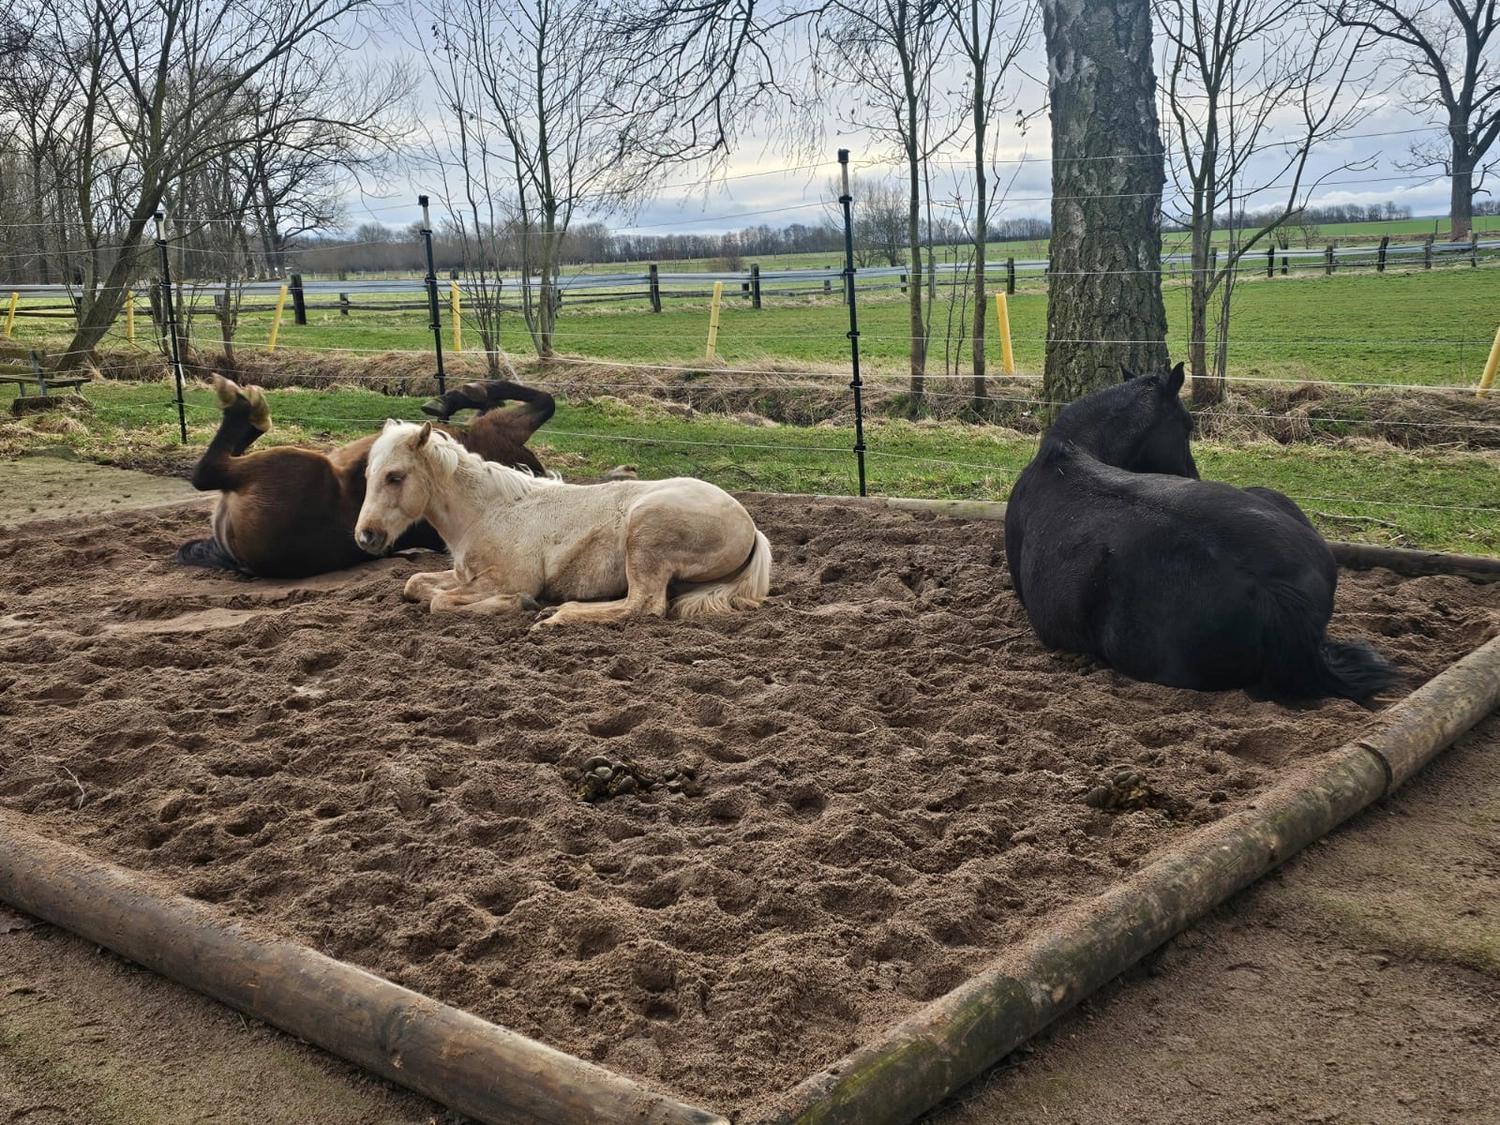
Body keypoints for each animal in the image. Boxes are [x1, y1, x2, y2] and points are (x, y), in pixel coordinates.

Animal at [174, 376, 554, 579]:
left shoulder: (498, 429)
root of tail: (236, 553)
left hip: (294, 462)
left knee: (208, 473)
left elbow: (544, 399)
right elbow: (544, 400)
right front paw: (459, 397)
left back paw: (247, 406)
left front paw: (462, 395)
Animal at [354, 420, 772, 626]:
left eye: (395, 477)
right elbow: (415, 584)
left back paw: (557, 616)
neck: (486, 514)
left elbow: (440, 602)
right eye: (368, 475)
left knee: (644, 606)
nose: (365, 536)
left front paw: (519, 604)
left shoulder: (509, 579)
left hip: (645, 534)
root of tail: (750, 526)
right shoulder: (464, 576)